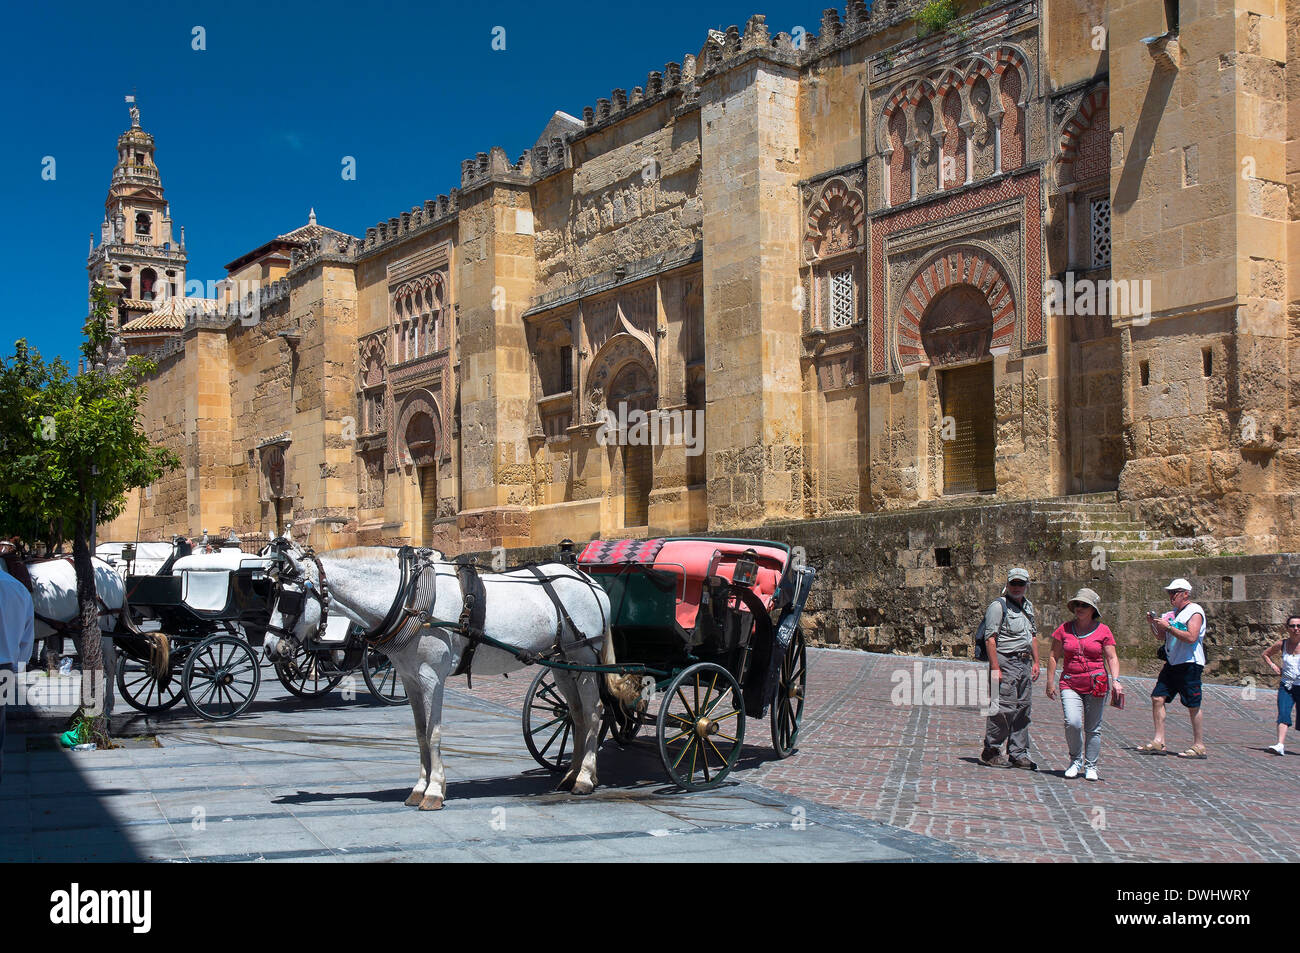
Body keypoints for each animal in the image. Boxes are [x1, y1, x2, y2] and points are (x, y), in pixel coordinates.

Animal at [266, 546, 631, 806]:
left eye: (290, 598)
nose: (270, 648)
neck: (411, 598)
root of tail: (587, 580)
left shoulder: (432, 678)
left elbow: (435, 733)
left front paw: (434, 791)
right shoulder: (410, 679)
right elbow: (419, 733)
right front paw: (419, 787)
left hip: (584, 658)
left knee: (595, 713)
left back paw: (584, 778)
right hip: (562, 663)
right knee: (577, 716)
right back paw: (571, 774)